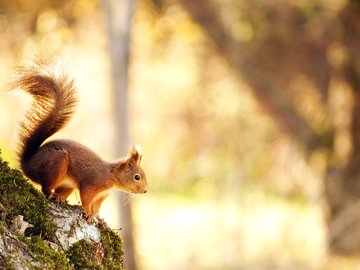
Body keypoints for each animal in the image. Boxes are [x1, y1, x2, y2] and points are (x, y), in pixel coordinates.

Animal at [10, 58, 147, 221]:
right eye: (137, 177)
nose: (145, 190)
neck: (113, 176)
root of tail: (27, 164)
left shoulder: (102, 196)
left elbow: (97, 207)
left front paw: (100, 218)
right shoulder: (92, 185)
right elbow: (86, 199)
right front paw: (89, 214)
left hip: (67, 184)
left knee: (60, 190)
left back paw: (60, 197)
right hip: (57, 164)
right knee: (45, 187)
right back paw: (50, 194)